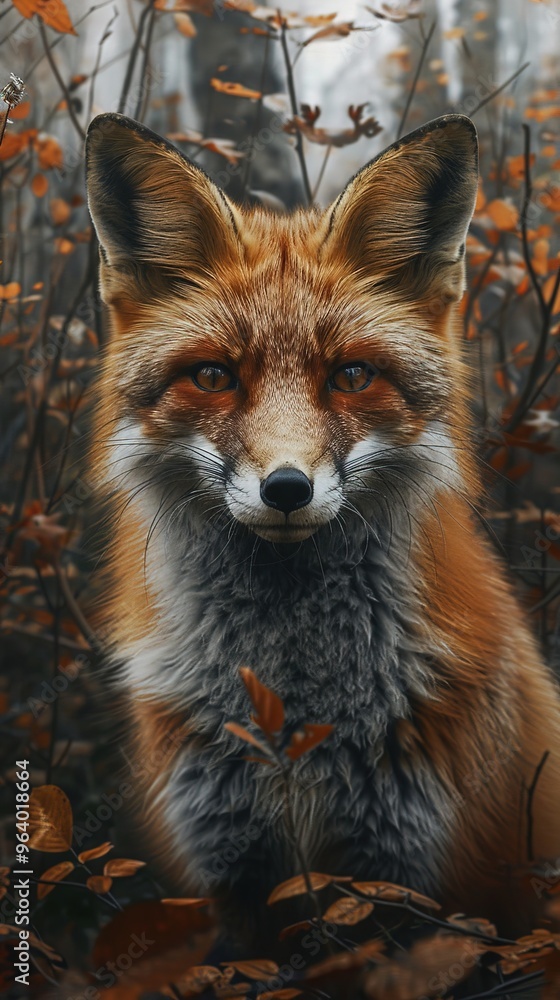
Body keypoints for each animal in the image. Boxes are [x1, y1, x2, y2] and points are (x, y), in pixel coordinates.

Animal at [86, 111, 560, 946]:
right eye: (214, 376)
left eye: (351, 376)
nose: (285, 489)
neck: (297, 716)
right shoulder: (229, 877)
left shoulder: (414, 884)